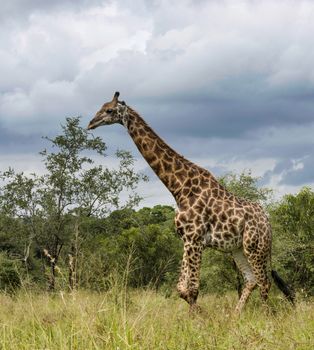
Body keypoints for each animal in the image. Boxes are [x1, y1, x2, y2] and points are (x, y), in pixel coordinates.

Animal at [87, 91, 294, 314]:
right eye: (100, 107)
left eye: (109, 110)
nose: (91, 123)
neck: (179, 188)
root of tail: (268, 222)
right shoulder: (186, 239)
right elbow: (181, 289)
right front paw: (200, 315)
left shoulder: (195, 238)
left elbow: (192, 290)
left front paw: (198, 319)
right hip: (237, 249)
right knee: (252, 280)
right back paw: (235, 316)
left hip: (255, 246)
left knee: (264, 282)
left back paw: (265, 316)